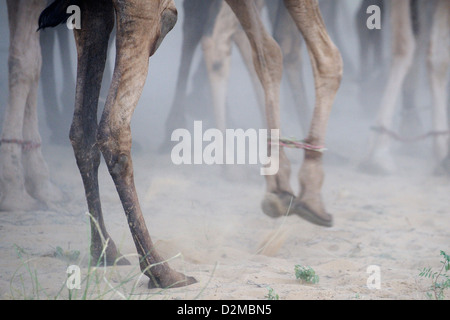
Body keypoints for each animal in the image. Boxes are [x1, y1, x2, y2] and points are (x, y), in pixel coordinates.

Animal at [40, 0, 342, 288]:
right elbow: (327, 58)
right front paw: (311, 191)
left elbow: (268, 52)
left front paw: (279, 186)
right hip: (141, 13)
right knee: (113, 128)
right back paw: (161, 271)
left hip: (92, 11)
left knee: (81, 128)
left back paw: (105, 250)